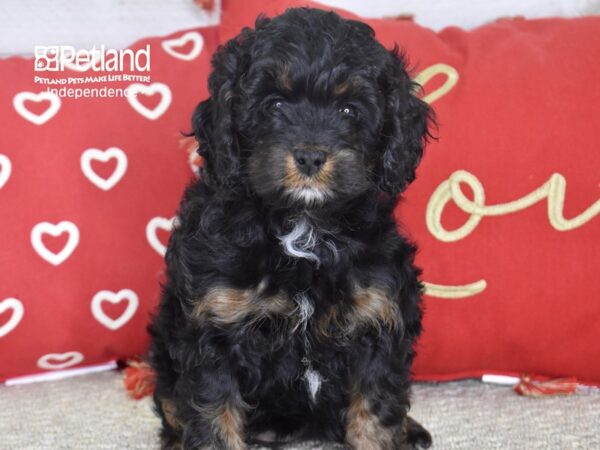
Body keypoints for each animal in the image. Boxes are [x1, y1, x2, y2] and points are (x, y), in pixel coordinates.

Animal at [148, 7, 434, 450]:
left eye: (349, 110)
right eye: (274, 104)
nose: (311, 156)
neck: (303, 228)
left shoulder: (377, 316)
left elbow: (374, 413)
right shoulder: (214, 324)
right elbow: (213, 416)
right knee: (171, 406)